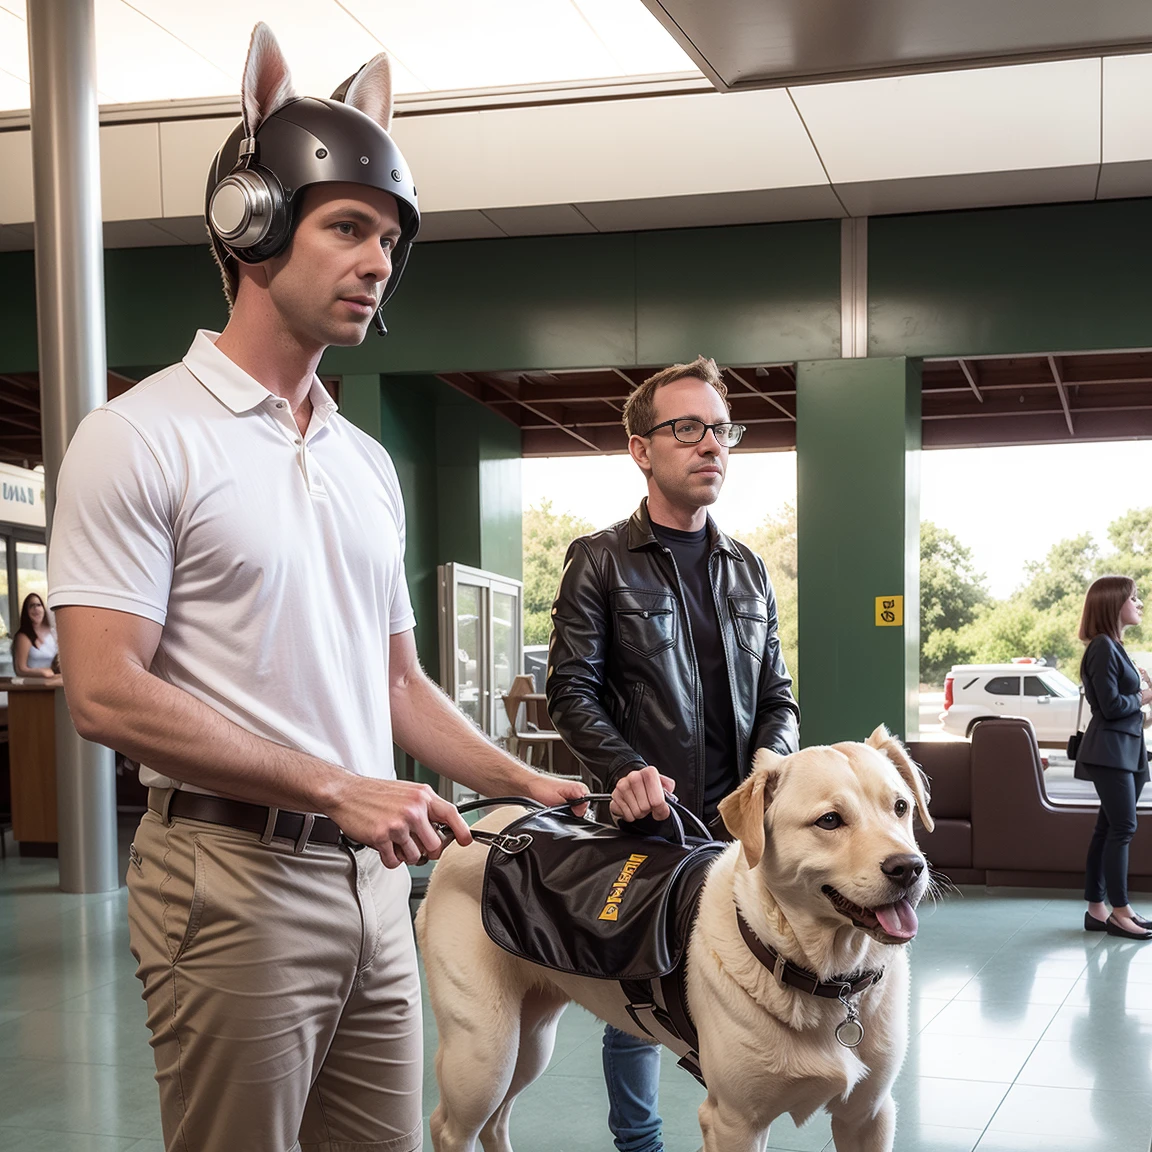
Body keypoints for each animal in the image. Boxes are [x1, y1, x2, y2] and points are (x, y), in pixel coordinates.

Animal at [419, 728, 930, 1152]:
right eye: (829, 821)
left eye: (901, 807)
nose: (909, 867)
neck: (825, 977)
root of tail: (500, 830)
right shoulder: (735, 1122)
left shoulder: (868, 1115)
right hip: (484, 1051)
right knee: (450, 1127)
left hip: (529, 1040)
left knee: (495, 1121)